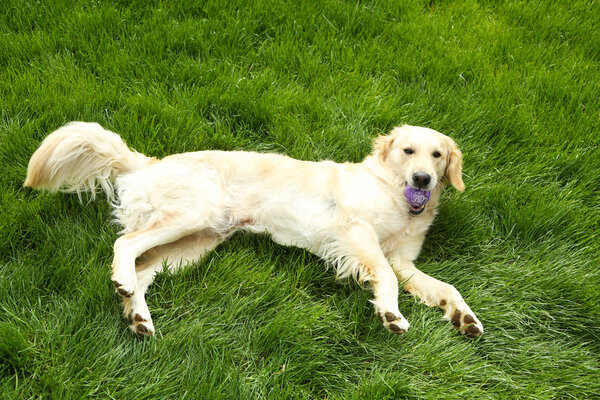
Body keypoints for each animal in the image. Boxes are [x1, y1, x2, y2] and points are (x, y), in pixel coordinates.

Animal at [24, 122, 482, 338]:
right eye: (408, 151)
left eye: (438, 155)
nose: (423, 179)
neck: (396, 195)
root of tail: (148, 162)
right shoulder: (355, 233)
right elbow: (383, 277)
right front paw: (390, 313)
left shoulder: (403, 260)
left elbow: (447, 288)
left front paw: (464, 317)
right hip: (191, 217)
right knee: (125, 244)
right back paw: (122, 284)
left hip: (191, 246)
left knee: (141, 270)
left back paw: (138, 317)